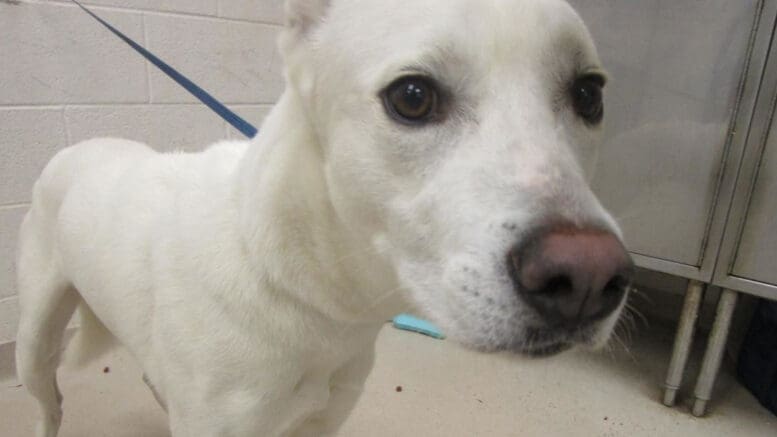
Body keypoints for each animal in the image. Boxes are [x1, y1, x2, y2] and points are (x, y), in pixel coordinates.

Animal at [16, 0, 632, 434]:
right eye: (412, 96)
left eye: (589, 94)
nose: (588, 278)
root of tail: (79, 144)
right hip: (32, 347)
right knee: (49, 406)